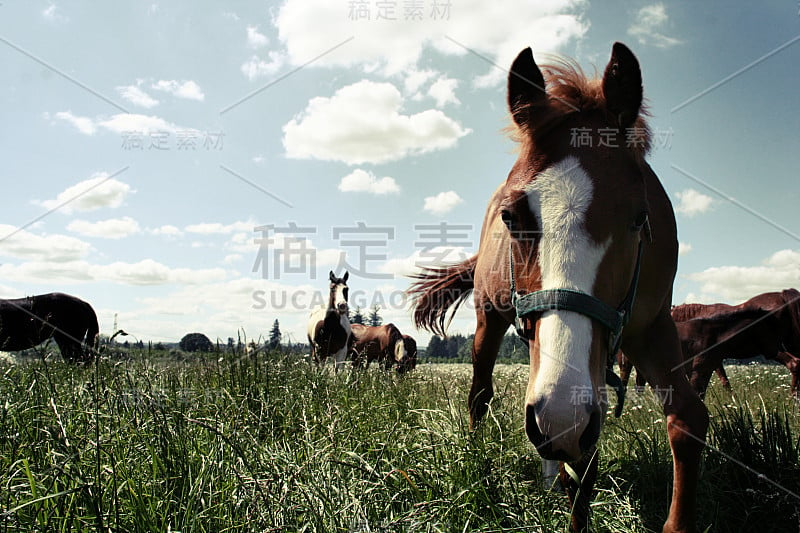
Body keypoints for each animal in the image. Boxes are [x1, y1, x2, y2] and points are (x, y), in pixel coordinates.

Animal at [410, 42, 708, 532]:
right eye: (511, 217)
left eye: (640, 218)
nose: (560, 416)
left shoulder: (649, 327)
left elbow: (686, 418)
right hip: (492, 319)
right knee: (481, 393)